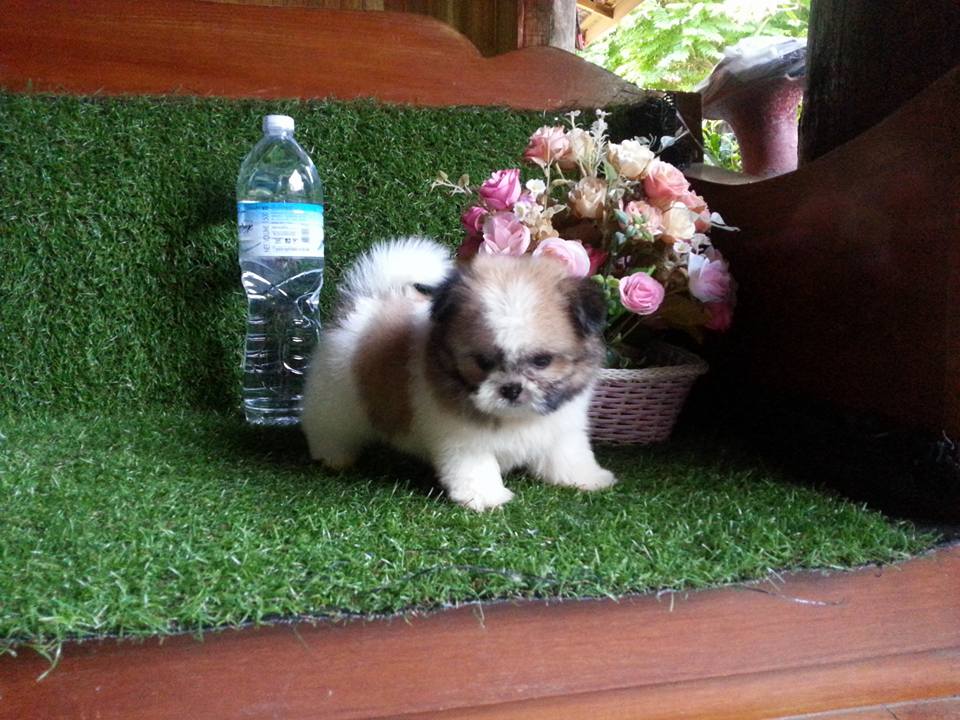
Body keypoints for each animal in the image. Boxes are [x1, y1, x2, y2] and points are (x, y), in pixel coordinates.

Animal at [301, 237, 616, 510]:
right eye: (483, 362)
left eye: (542, 361)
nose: (511, 389)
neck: (514, 418)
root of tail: (371, 300)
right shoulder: (463, 438)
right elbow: (476, 466)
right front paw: (485, 496)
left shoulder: (562, 428)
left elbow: (567, 454)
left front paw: (587, 479)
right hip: (336, 397)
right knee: (329, 427)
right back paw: (333, 456)